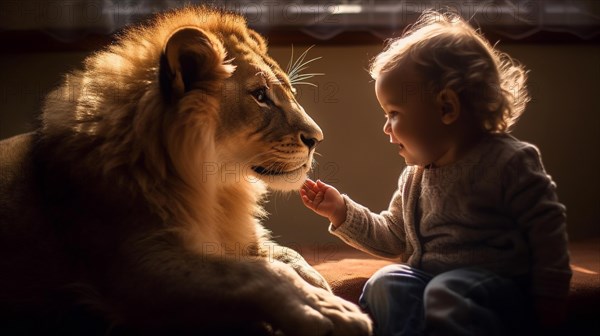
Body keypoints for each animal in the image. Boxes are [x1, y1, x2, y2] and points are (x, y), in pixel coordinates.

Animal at [0, 5, 370, 336]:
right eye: (260, 95)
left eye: (288, 92)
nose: (316, 138)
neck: (215, 187)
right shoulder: (132, 268)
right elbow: (253, 272)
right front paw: (324, 308)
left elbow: (285, 253)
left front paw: (319, 283)